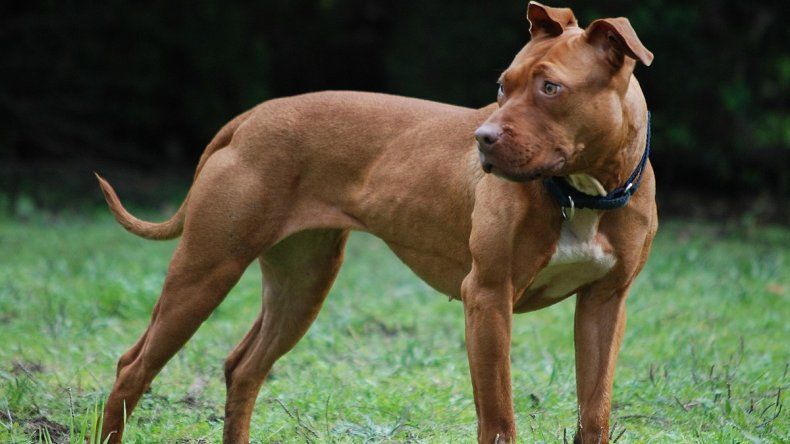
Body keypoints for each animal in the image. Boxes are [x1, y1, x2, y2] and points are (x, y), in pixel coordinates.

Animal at [96, 3, 660, 444]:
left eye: (550, 88)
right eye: (503, 86)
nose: (482, 139)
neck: (583, 193)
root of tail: (250, 117)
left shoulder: (604, 306)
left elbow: (595, 414)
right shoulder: (488, 297)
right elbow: (499, 419)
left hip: (302, 283)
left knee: (243, 368)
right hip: (205, 271)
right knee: (133, 368)